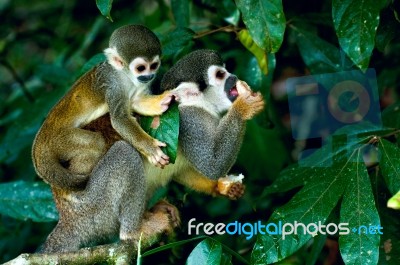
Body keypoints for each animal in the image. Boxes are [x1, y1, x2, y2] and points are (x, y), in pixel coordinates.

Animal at [31, 24, 172, 191]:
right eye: (141, 68)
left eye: (154, 66)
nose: (149, 76)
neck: (124, 76)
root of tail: (40, 142)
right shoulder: (111, 84)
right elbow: (119, 119)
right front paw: (151, 148)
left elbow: (136, 101)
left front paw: (162, 101)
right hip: (60, 141)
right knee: (96, 142)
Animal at [39, 48, 266, 253]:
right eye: (220, 75)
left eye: (226, 70)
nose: (234, 77)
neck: (200, 105)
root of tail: (68, 218)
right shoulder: (189, 122)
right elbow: (211, 165)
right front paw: (244, 106)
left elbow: (184, 170)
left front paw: (222, 187)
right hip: (93, 208)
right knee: (124, 153)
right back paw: (132, 231)